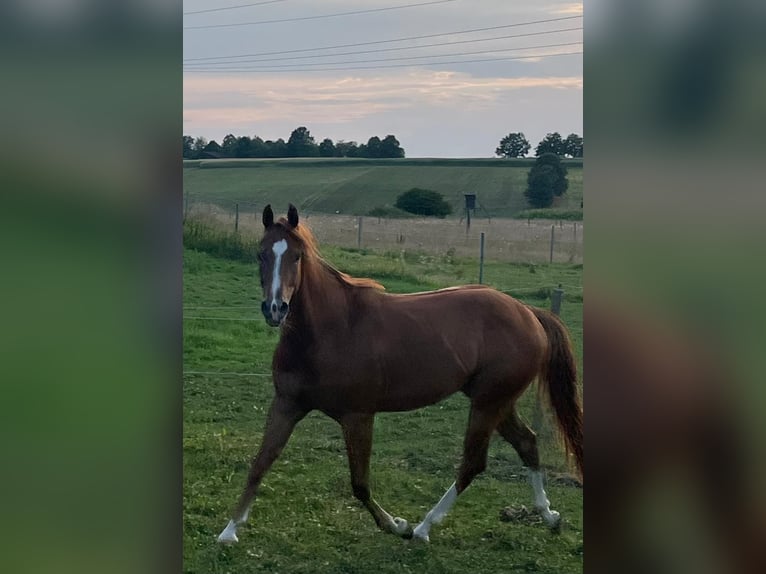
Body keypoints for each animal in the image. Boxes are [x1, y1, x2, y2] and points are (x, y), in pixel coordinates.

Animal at [217, 204, 583, 544]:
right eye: (261, 253)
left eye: (297, 256)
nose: (275, 309)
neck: (332, 329)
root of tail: (529, 313)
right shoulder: (287, 404)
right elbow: (260, 463)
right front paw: (229, 530)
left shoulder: (358, 416)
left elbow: (360, 483)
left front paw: (395, 524)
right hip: (497, 402)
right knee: (527, 444)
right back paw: (549, 516)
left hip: (488, 404)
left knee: (473, 462)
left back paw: (423, 528)